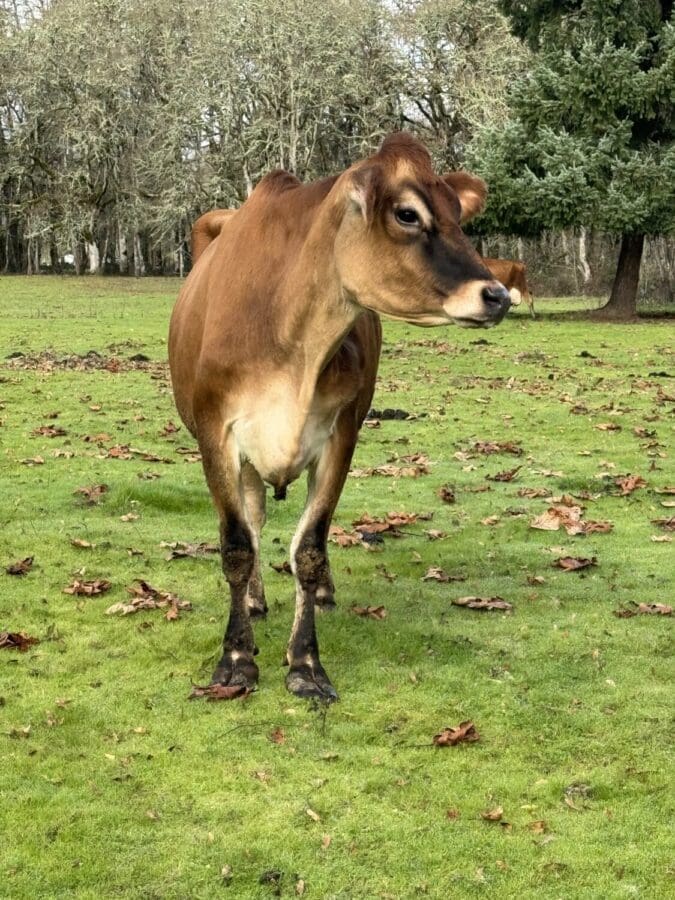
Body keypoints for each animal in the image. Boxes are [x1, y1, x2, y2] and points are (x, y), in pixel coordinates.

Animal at [168, 133, 511, 702]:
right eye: (407, 213)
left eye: (458, 213)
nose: (498, 294)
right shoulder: (216, 434)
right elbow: (237, 545)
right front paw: (237, 658)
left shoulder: (340, 436)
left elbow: (309, 546)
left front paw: (305, 662)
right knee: (255, 521)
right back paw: (255, 601)